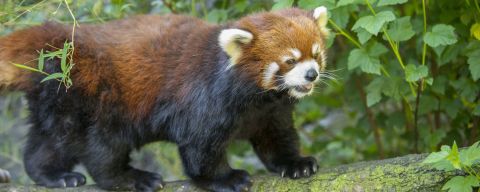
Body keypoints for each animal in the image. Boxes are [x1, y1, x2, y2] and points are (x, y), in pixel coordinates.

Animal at [0, 6, 330, 192]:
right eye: (289, 60)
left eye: (316, 54)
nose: (311, 75)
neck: (257, 99)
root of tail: (60, 39)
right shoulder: (204, 99)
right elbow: (200, 147)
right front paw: (225, 179)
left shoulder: (271, 112)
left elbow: (277, 138)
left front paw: (296, 163)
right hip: (94, 94)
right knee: (100, 146)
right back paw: (130, 178)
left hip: (58, 96)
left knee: (50, 140)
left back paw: (53, 175)